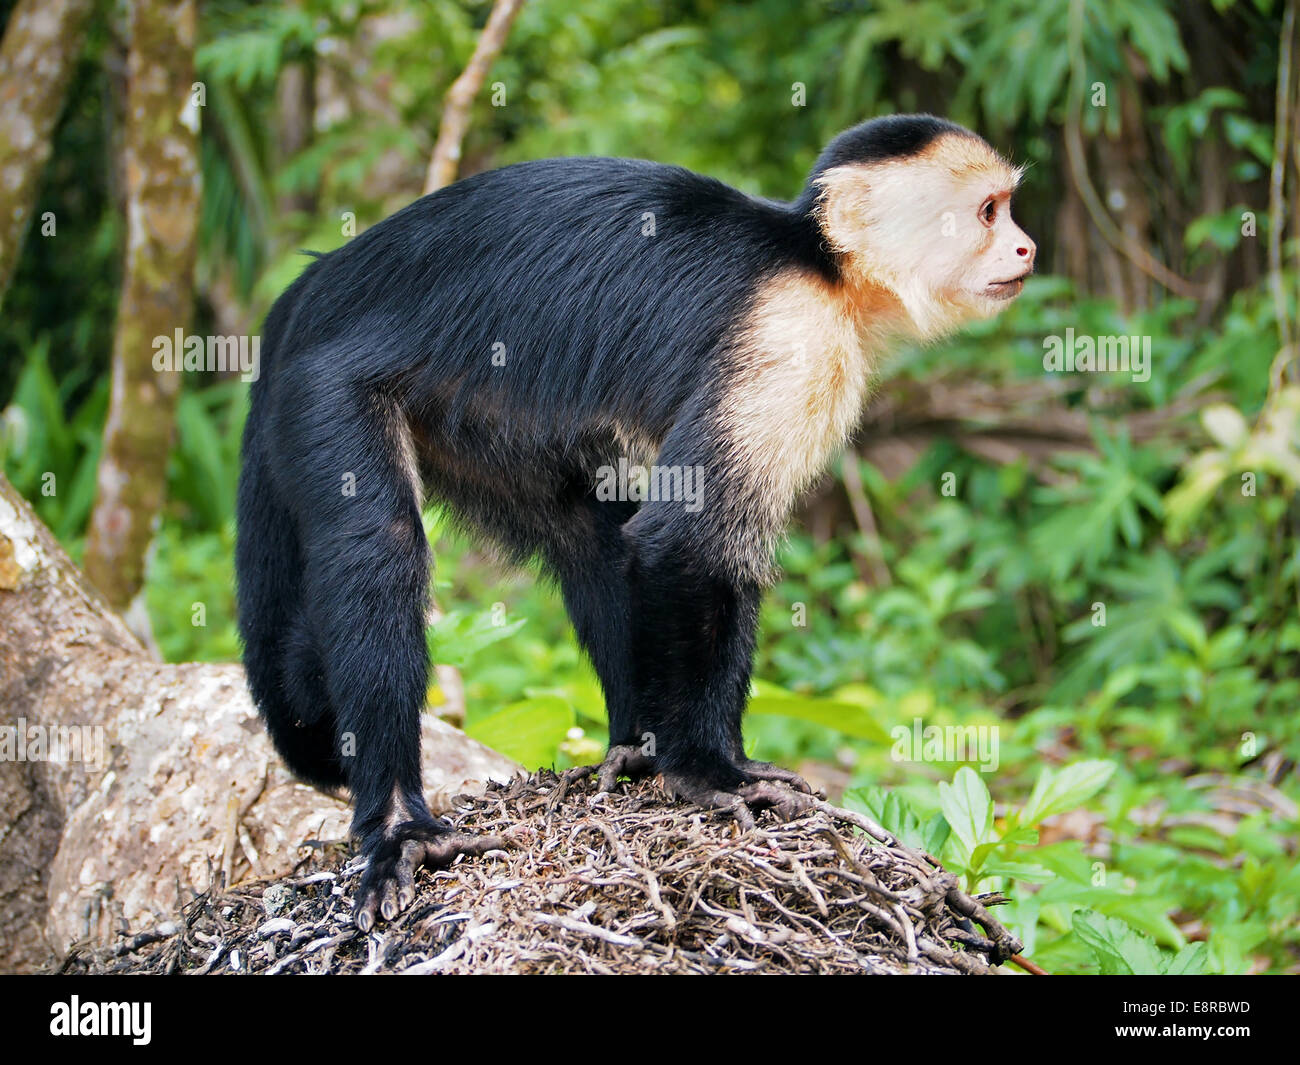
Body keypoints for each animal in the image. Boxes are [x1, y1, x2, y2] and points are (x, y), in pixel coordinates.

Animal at [236, 112, 1034, 931]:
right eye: (988, 212)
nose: (1027, 247)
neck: (821, 266)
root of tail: (314, 282)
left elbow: (678, 548)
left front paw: (707, 759)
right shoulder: (789, 341)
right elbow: (686, 543)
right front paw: (709, 773)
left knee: (586, 537)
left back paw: (630, 749)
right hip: (325, 386)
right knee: (380, 554)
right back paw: (400, 825)